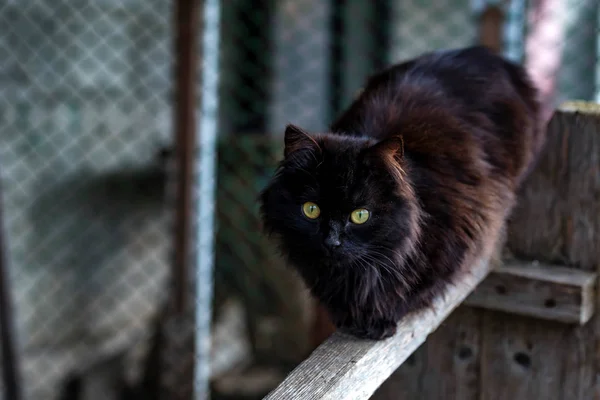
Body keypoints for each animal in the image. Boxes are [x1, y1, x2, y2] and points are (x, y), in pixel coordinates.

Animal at [258, 47, 544, 340]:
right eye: (311, 209)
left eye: (360, 215)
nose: (331, 242)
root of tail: (482, 53)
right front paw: (349, 317)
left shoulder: (465, 229)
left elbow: (419, 287)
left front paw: (377, 320)